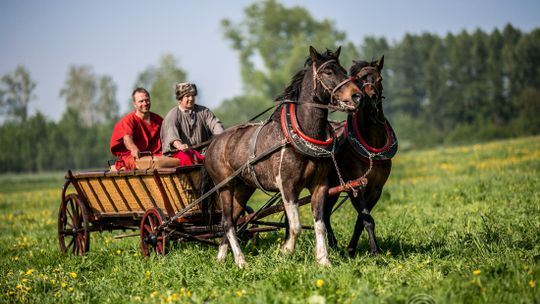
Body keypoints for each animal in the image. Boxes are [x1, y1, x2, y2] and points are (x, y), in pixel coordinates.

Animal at [206, 46, 362, 268]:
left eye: (344, 71)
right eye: (328, 72)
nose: (357, 96)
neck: (301, 134)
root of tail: (213, 143)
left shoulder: (320, 185)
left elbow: (320, 224)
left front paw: (323, 260)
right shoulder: (287, 185)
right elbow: (295, 226)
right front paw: (285, 251)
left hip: (244, 188)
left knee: (232, 221)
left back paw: (221, 258)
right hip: (225, 186)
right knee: (227, 222)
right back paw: (241, 260)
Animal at [324, 56, 396, 256]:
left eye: (379, 79)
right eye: (357, 80)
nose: (370, 99)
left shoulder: (376, 189)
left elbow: (361, 220)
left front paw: (351, 249)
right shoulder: (353, 187)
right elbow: (367, 219)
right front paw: (375, 251)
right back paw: (332, 245)